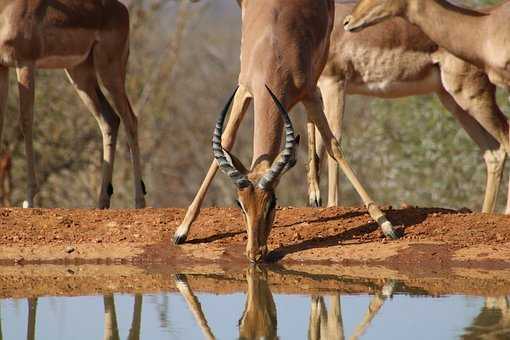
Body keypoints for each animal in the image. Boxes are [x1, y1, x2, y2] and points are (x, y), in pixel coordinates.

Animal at [0, 0, 145, 209]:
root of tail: (122, 10)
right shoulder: (2, 66)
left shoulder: (25, 63)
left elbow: (26, 122)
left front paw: (29, 199)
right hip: (80, 75)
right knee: (110, 119)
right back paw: (101, 202)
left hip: (110, 72)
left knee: (131, 120)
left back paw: (139, 202)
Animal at [173, 0, 396, 262]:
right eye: (240, 205)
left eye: (273, 202)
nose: (255, 253)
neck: (272, 54)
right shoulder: (244, 91)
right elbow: (226, 141)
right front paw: (182, 230)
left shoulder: (307, 92)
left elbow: (334, 145)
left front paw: (385, 224)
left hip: (321, 61)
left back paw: (315, 193)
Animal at [310, 1, 510, 211]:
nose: (348, 22)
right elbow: (319, 141)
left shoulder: (334, 83)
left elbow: (333, 138)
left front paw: (332, 204)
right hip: (454, 103)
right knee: (494, 153)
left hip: (471, 97)